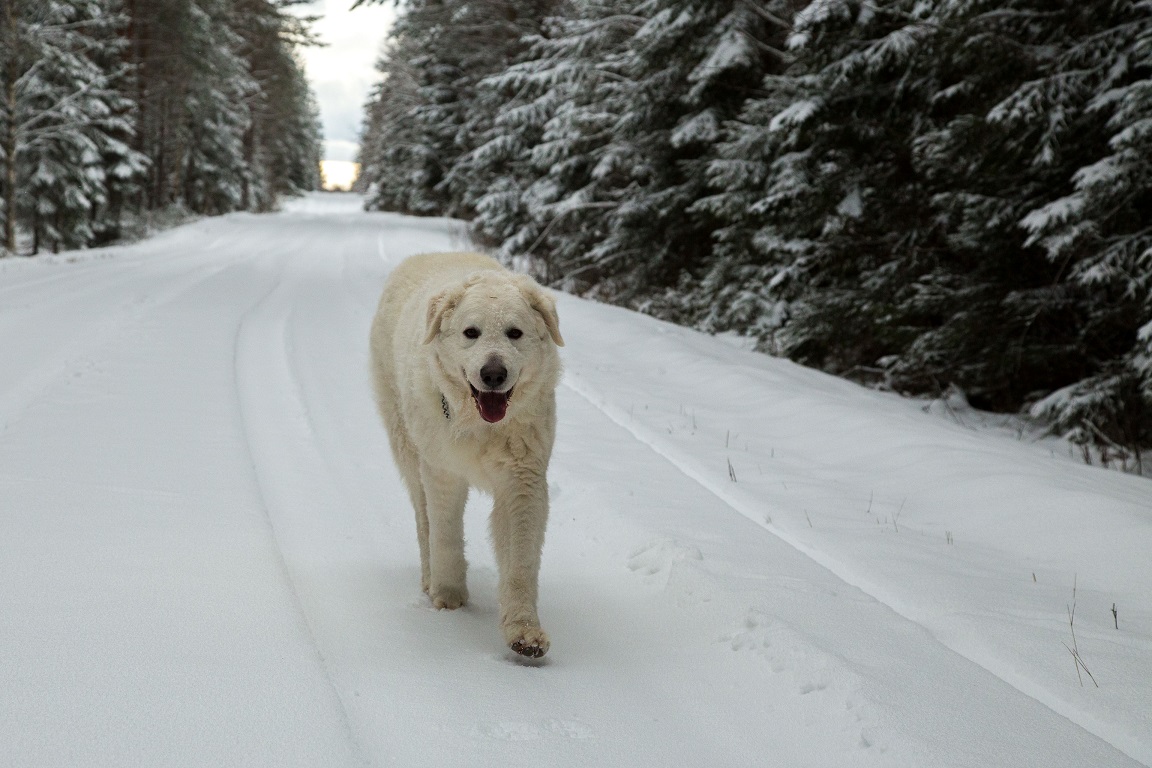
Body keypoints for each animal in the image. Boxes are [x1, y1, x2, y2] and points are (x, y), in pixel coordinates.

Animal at [368, 253, 562, 663]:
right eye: (471, 332)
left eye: (514, 333)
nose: (493, 373)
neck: (481, 427)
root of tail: (424, 255)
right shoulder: (442, 471)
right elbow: (445, 533)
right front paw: (449, 595)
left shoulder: (522, 481)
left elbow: (520, 560)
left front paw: (523, 631)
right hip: (407, 447)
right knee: (423, 519)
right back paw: (430, 578)